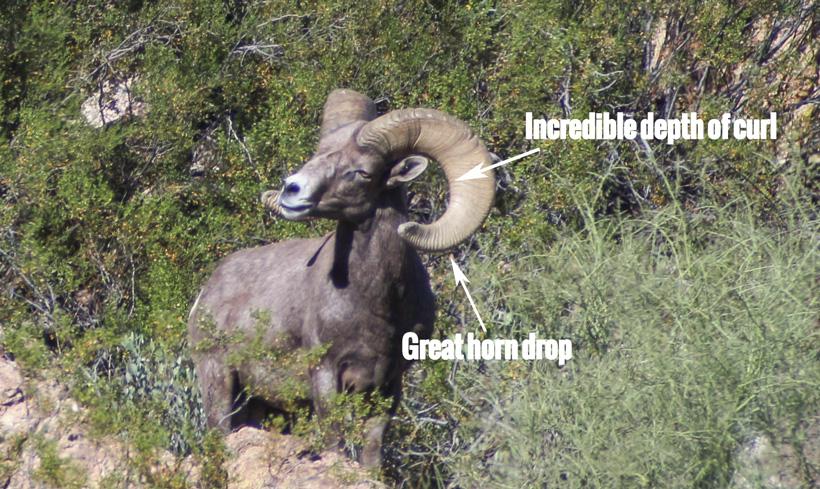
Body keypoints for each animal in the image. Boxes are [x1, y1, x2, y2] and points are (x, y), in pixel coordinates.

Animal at [187, 89, 495, 467]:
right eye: (317, 156)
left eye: (361, 172)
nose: (291, 190)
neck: (378, 305)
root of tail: (205, 294)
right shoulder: (325, 374)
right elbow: (334, 441)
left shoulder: (387, 385)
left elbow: (372, 453)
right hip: (219, 380)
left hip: (259, 404)